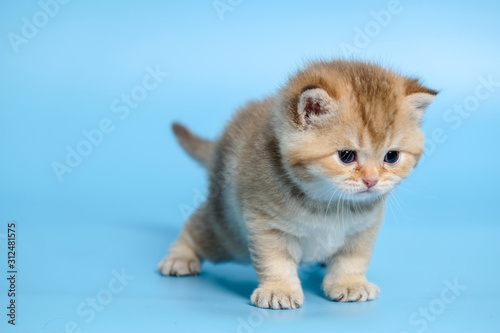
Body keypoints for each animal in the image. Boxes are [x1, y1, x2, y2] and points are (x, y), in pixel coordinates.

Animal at [158, 59, 436, 308]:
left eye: (391, 156)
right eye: (346, 156)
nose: (371, 180)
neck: (327, 203)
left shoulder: (364, 228)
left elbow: (353, 257)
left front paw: (350, 283)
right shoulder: (266, 224)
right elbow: (275, 260)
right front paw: (278, 289)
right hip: (228, 234)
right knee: (197, 228)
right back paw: (180, 257)